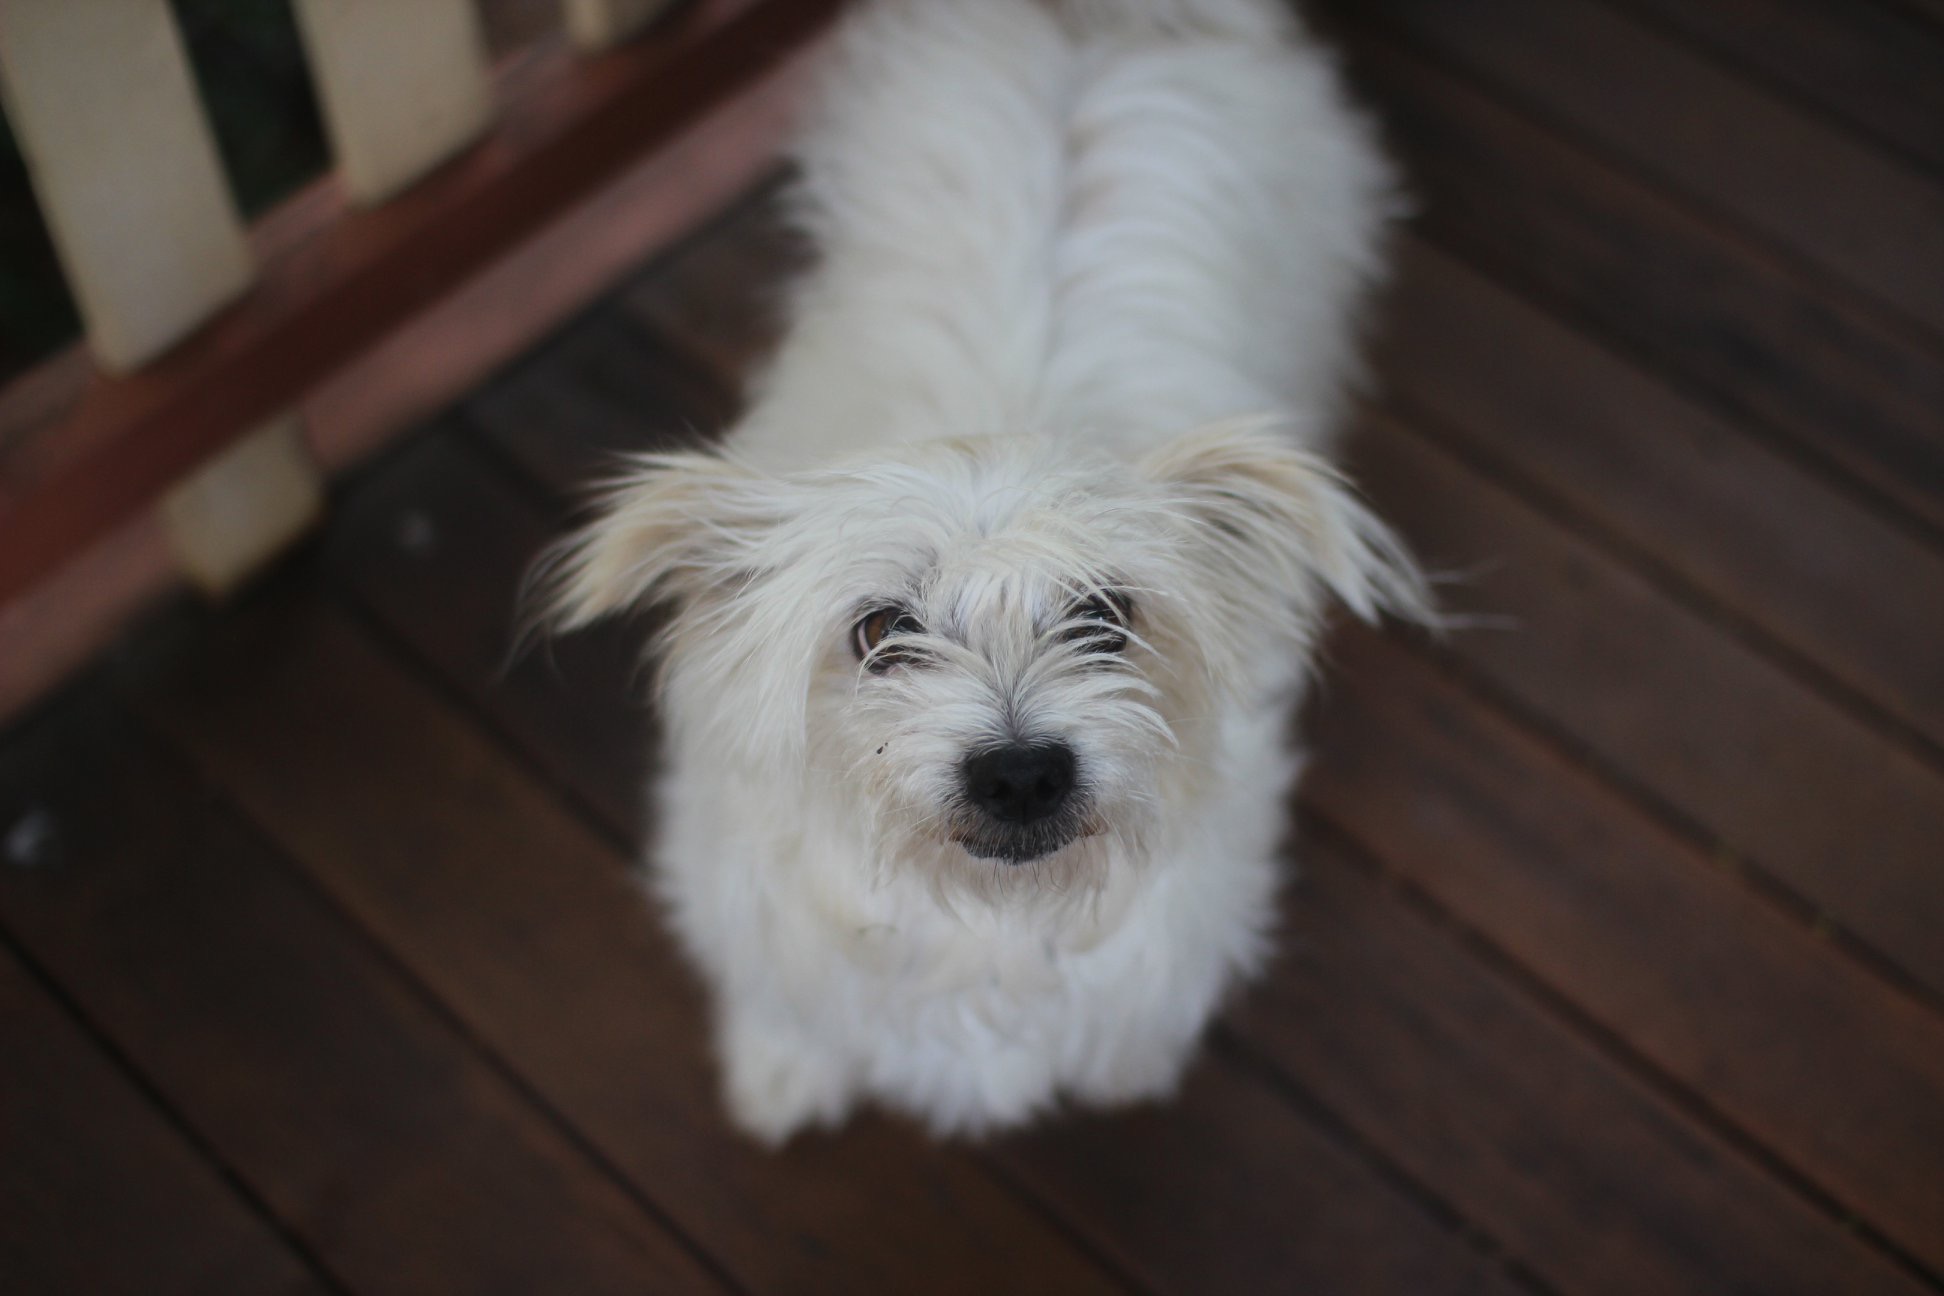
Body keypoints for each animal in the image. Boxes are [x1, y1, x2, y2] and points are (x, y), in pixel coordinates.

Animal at [544, 0, 1429, 1143]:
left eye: (1106, 615)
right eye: (880, 630)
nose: (1020, 774)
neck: (989, 921)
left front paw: (1128, 1066)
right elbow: (789, 1002)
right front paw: (781, 1072)